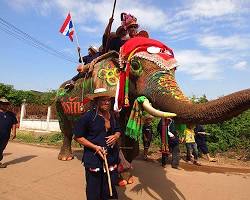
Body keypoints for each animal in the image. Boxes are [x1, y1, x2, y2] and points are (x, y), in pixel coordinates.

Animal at [56, 35, 250, 161]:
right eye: (135, 66)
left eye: (175, 70)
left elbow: (124, 131)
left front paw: (130, 164)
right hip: (58, 103)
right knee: (66, 130)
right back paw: (65, 158)